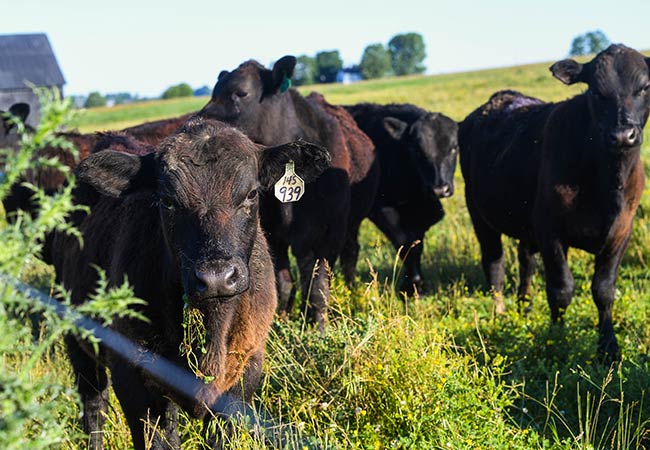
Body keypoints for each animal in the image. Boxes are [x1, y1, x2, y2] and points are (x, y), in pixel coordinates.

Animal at [52, 118, 330, 448]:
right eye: (168, 201)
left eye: (251, 194)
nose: (216, 278)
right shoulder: (133, 383)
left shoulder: (244, 377)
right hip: (76, 339)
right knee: (94, 405)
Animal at [200, 55, 378, 330]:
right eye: (214, 91)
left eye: (241, 93)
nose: (201, 123)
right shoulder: (275, 236)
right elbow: (284, 283)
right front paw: (282, 319)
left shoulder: (329, 236)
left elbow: (319, 287)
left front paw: (319, 328)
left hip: (352, 224)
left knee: (349, 253)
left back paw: (351, 290)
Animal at [344, 103, 456, 294]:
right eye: (417, 151)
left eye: (454, 148)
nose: (440, 188)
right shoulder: (382, 210)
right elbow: (404, 243)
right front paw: (412, 285)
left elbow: (416, 245)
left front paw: (417, 286)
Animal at [458, 44, 644, 358]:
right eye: (596, 92)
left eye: (644, 88)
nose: (622, 135)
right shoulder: (550, 230)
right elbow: (561, 289)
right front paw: (558, 339)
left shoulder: (622, 231)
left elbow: (604, 290)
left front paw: (609, 348)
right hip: (478, 213)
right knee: (494, 265)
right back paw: (500, 315)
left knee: (525, 261)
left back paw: (524, 307)